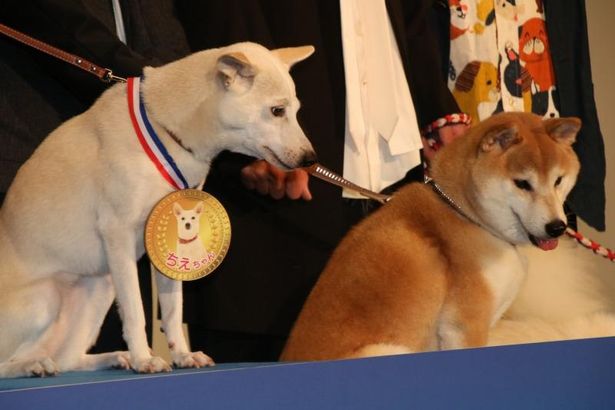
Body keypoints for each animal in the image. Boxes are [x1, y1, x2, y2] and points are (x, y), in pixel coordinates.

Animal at [0, 42, 316, 378]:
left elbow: (174, 312)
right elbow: (136, 312)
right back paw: (34, 364)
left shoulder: (166, 244)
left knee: (68, 360)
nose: (311, 159)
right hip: (47, 301)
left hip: (100, 287)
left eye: (296, 110)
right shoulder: (119, 234)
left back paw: (112, 357)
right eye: (277, 110)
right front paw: (144, 359)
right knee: (11, 363)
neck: (166, 130)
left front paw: (182, 355)